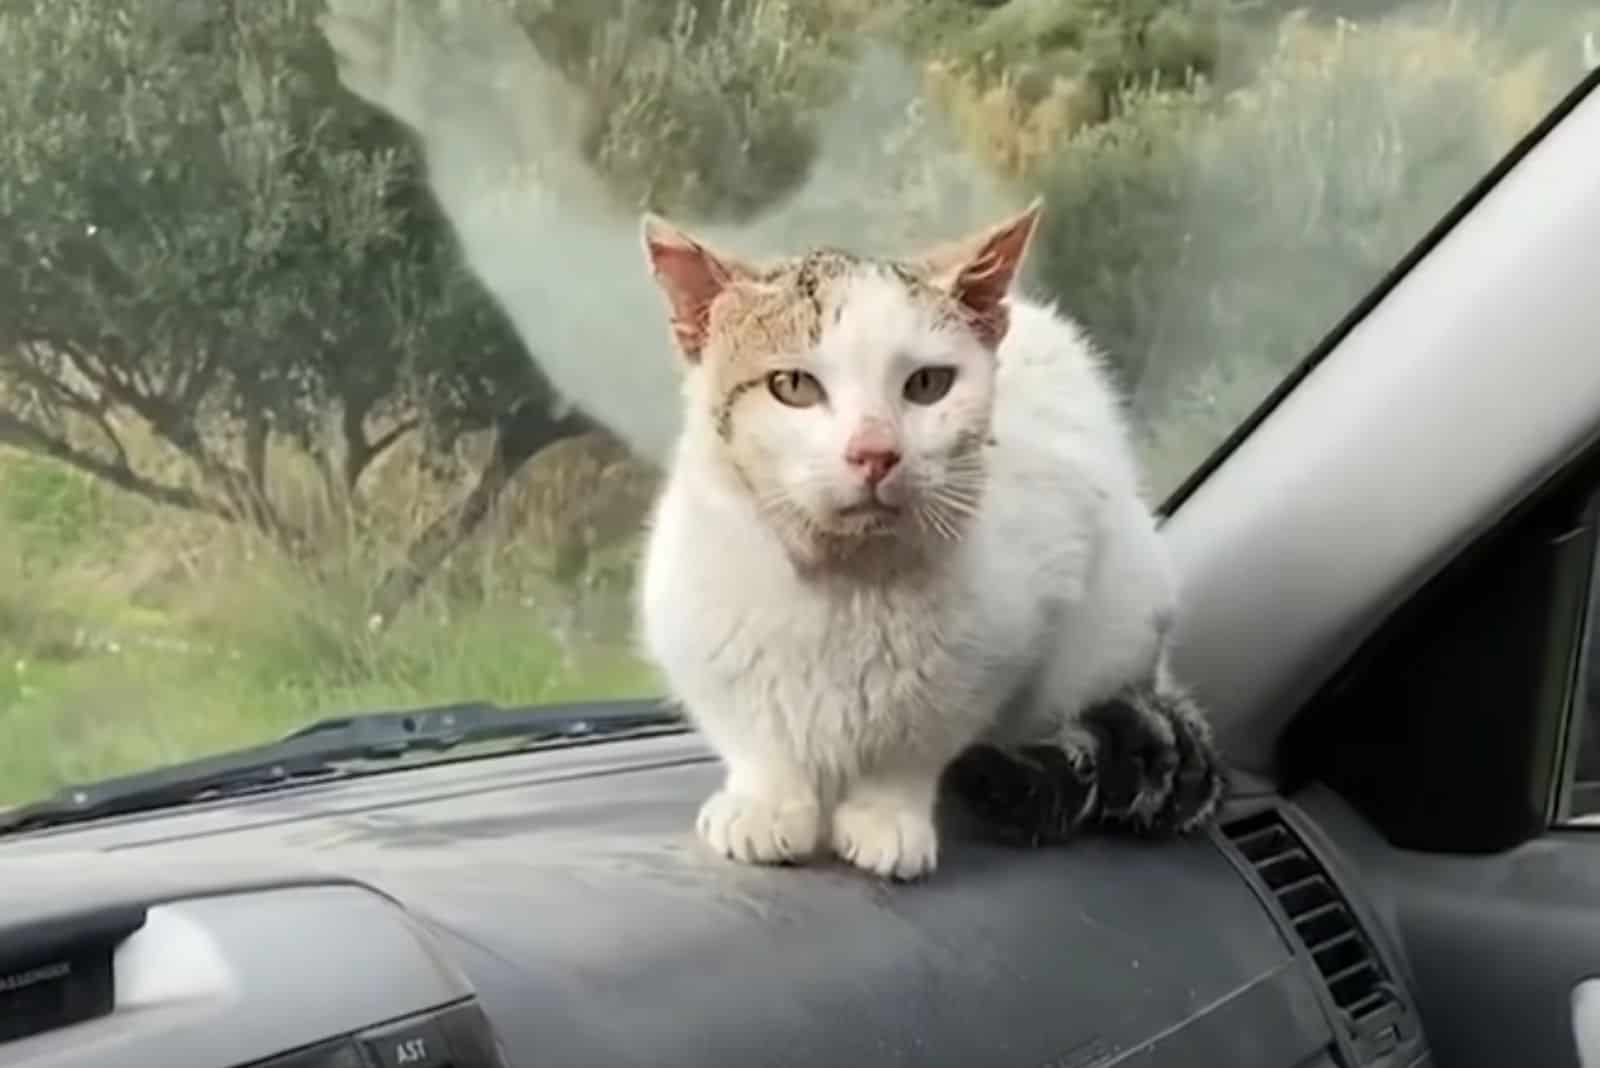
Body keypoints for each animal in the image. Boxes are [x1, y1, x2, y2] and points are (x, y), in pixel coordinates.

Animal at [636, 198, 1222, 876]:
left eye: (926, 385)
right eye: (794, 387)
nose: (875, 452)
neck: (846, 582)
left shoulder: (1005, 639)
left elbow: (919, 740)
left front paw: (886, 813)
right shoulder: (696, 626)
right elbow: (754, 729)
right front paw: (767, 803)